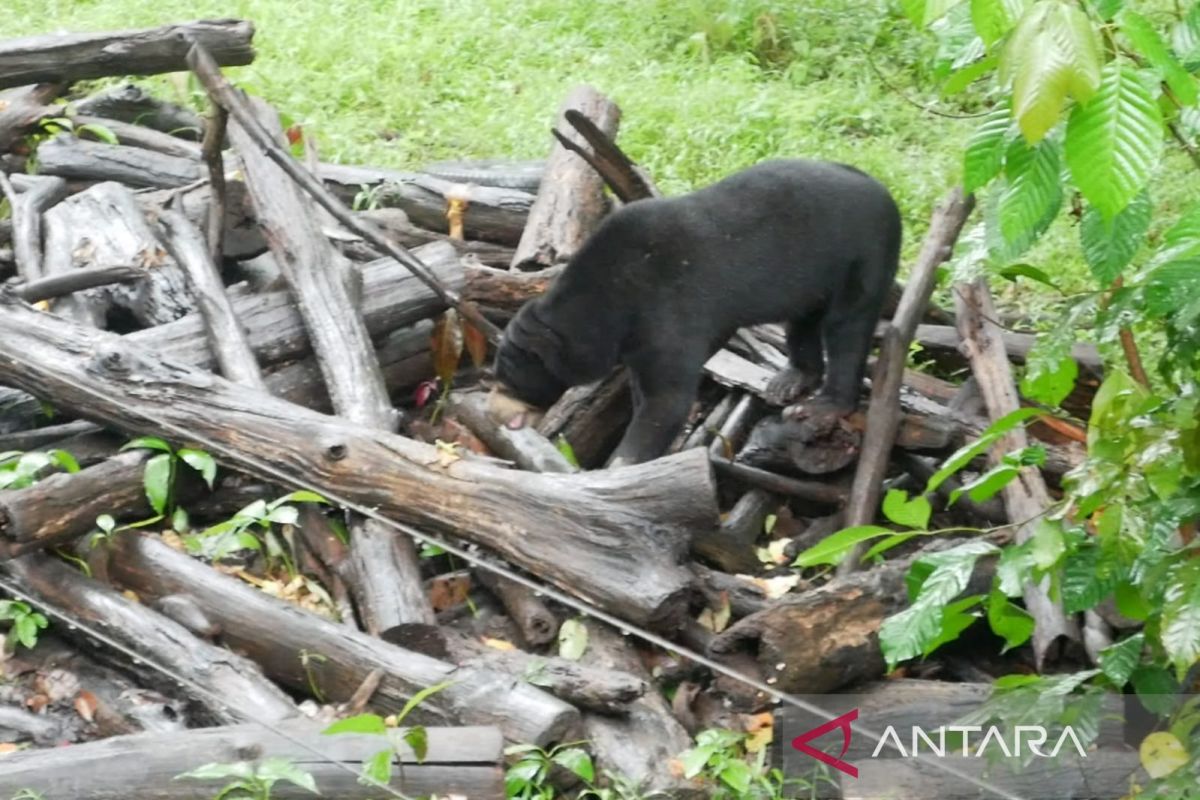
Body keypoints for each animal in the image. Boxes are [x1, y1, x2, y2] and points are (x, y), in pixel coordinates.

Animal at [494, 157, 902, 465]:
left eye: (510, 373)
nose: (496, 403)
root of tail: (886, 194)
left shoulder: (666, 314)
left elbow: (667, 400)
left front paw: (623, 463)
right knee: (804, 320)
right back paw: (790, 380)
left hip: (864, 254)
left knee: (847, 326)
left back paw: (824, 405)